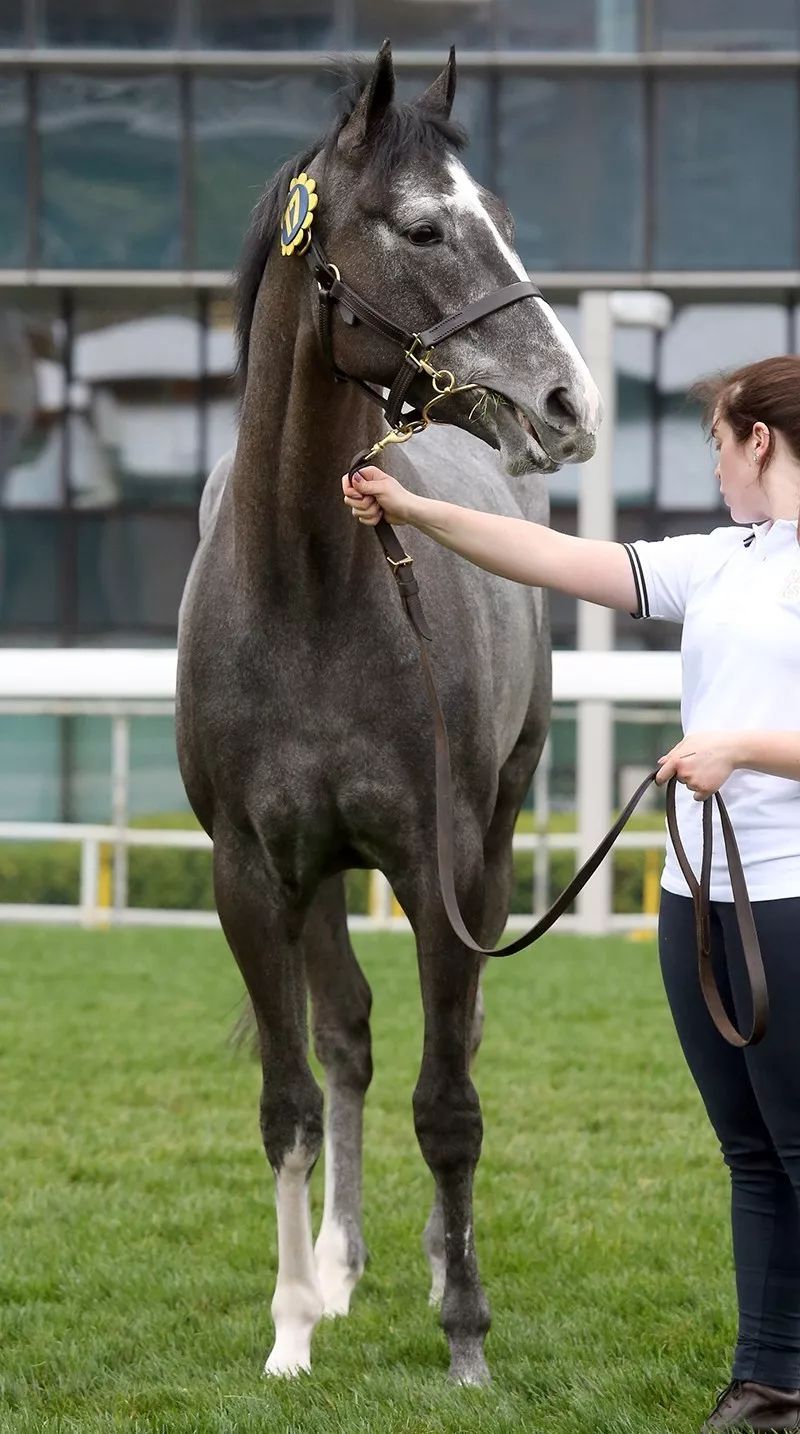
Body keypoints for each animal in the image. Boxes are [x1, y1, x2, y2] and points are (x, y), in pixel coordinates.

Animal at [177, 44, 602, 1382]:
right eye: (422, 227)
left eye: (500, 217)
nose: (568, 402)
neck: (309, 586)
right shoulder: (253, 875)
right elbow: (292, 1099)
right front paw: (289, 1326)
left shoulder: (440, 863)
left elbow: (448, 1103)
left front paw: (464, 1331)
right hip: (319, 877)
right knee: (352, 1040)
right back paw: (337, 1266)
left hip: (495, 841)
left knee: (444, 1051)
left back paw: (422, 1263)